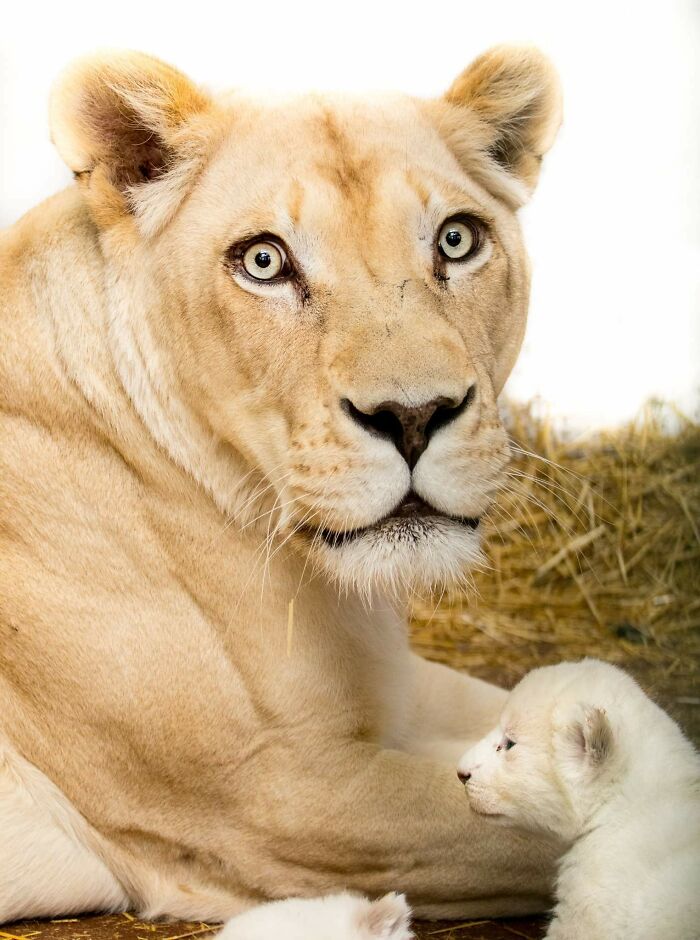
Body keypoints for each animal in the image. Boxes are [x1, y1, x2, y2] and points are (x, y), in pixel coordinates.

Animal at [0, 46, 562, 924]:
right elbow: (548, 832)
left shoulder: (391, 689)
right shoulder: (274, 800)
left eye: (457, 240)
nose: (413, 415)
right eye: (264, 261)